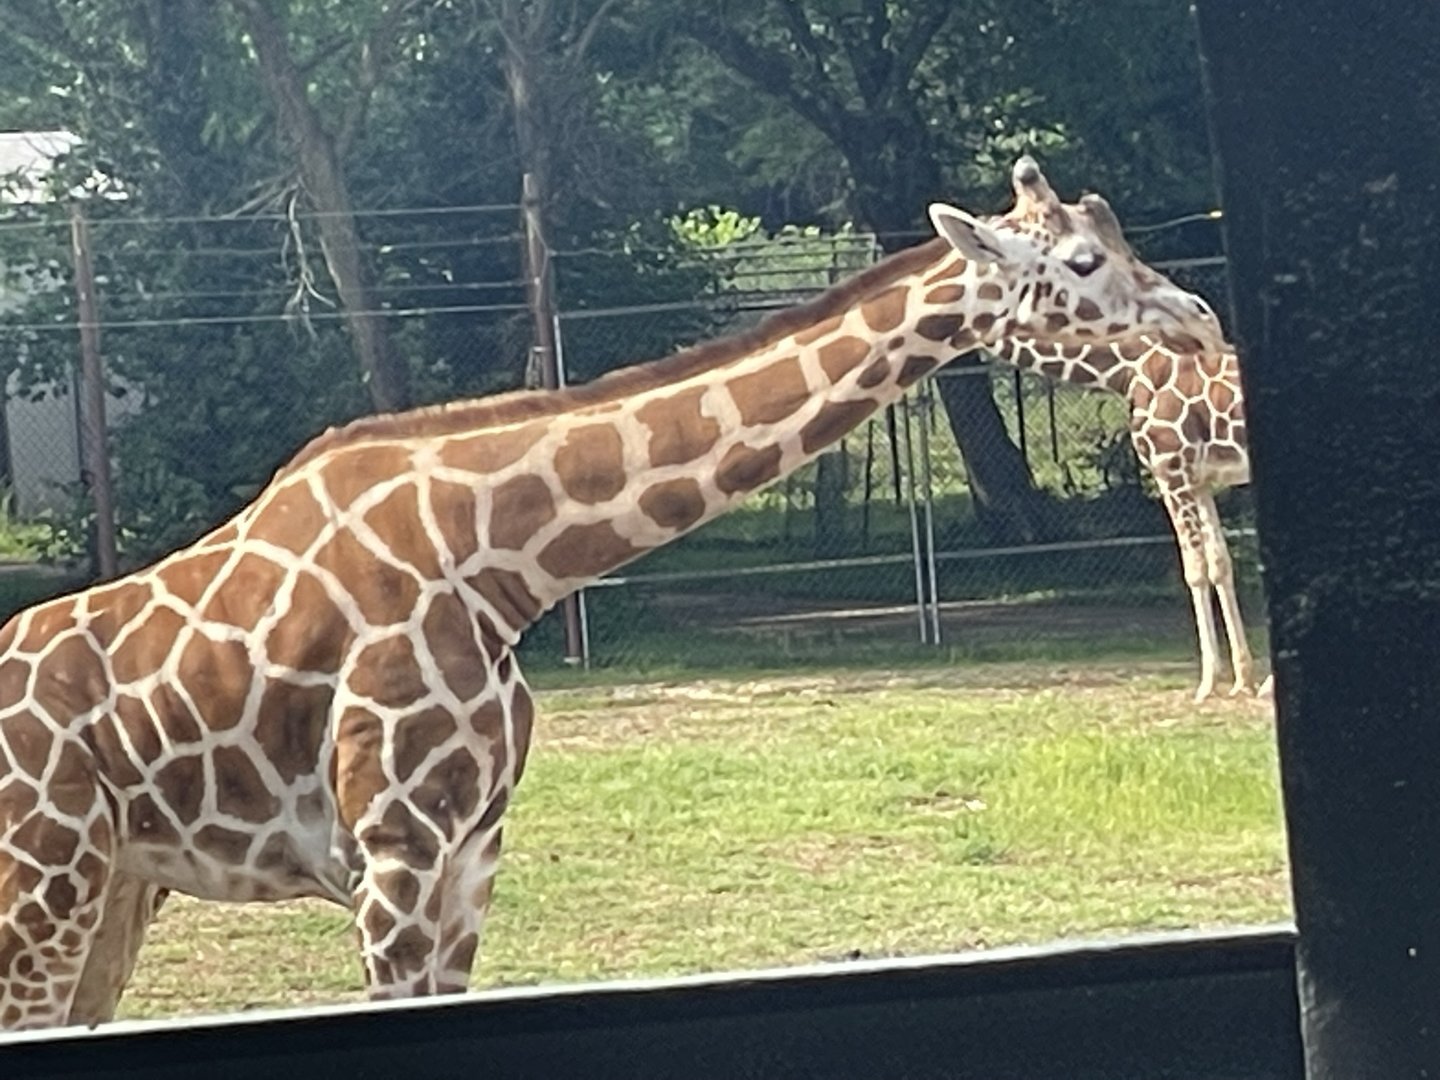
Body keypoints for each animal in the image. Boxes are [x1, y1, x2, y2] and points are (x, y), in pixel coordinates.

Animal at [0, 156, 1226, 1031]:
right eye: (1082, 261)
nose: (1198, 320)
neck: (500, 565)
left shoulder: (471, 852)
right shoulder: (392, 852)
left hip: (111, 892)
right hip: (40, 889)